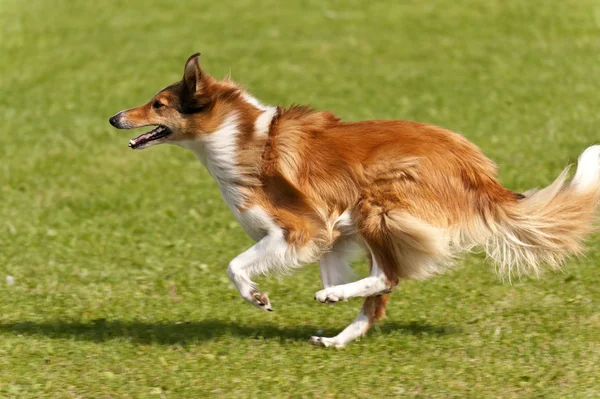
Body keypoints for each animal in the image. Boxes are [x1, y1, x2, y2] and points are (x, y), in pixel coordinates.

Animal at [109, 53, 600, 346]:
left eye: (157, 104)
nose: (114, 117)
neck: (238, 136)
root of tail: (477, 171)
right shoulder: (329, 235)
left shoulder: (301, 229)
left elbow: (234, 265)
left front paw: (258, 297)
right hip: (365, 221)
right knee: (379, 294)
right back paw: (335, 335)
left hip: (377, 206)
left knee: (388, 277)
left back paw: (333, 299)